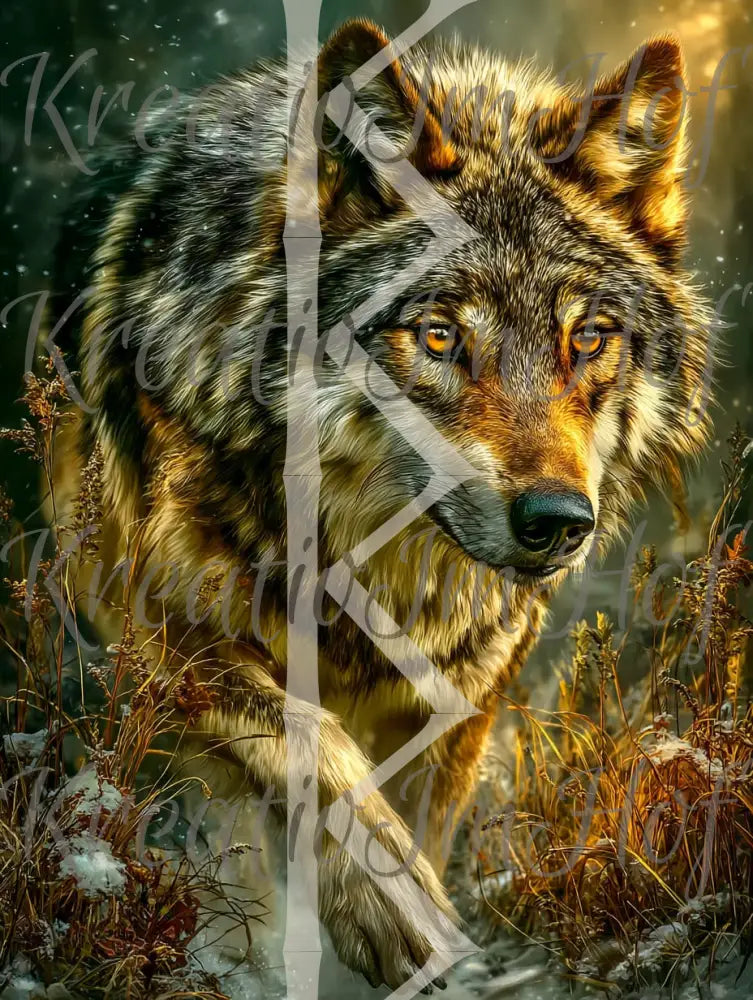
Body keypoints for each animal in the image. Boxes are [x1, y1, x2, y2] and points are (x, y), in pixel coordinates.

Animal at [47, 17, 712, 991]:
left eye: (586, 339)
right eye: (437, 336)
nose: (557, 523)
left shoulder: (459, 700)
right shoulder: (149, 620)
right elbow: (310, 746)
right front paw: (396, 913)